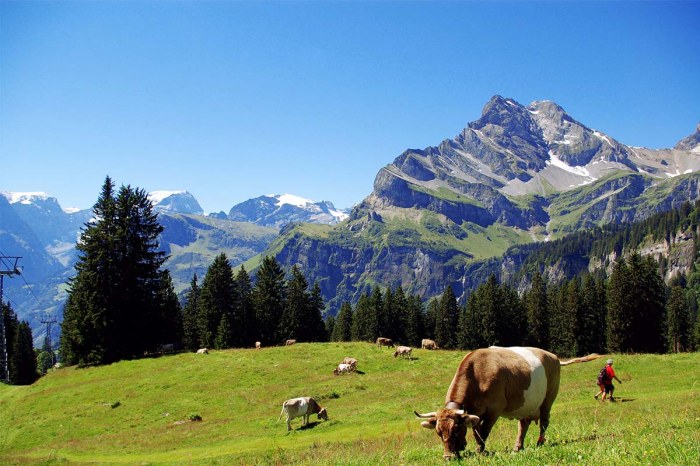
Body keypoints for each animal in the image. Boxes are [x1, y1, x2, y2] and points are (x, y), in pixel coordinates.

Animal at [415, 346, 600, 459]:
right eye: (438, 432)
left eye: (455, 429)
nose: (448, 457)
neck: (477, 374)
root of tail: (553, 356)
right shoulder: (475, 411)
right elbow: (475, 431)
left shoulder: (494, 410)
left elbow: (483, 432)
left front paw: (480, 451)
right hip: (527, 404)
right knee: (523, 424)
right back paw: (518, 446)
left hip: (549, 398)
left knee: (544, 422)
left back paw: (540, 442)